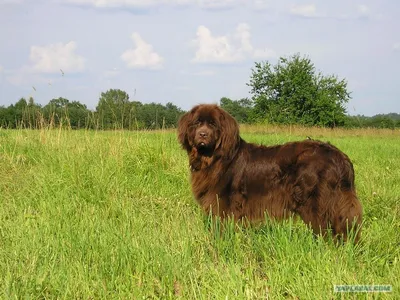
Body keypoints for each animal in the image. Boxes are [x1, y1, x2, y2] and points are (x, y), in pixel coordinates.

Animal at [177, 104, 362, 243]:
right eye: (197, 123)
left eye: (213, 125)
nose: (202, 134)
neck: (215, 158)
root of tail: (340, 156)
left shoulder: (224, 203)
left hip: (315, 203)